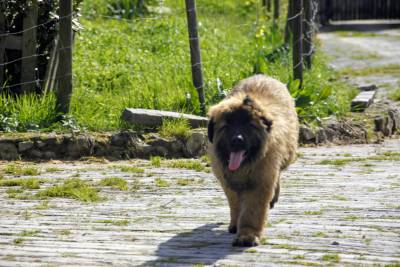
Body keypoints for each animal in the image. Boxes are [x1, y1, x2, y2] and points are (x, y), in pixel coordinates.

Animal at [208, 74, 298, 248]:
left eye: (249, 125)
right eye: (227, 125)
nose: (237, 140)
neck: (244, 166)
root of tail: (264, 76)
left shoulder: (261, 180)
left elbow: (252, 210)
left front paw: (247, 235)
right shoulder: (227, 180)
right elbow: (235, 203)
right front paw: (235, 224)